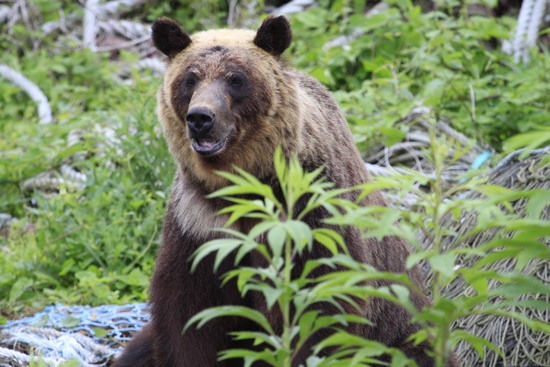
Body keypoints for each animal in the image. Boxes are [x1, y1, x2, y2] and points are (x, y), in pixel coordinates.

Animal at [112, 15, 458, 367]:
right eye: (190, 79)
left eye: (236, 79)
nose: (201, 118)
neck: (248, 180)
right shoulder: (200, 224)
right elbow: (190, 314)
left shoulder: (311, 211)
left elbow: (323, 304)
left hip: (401, 328)